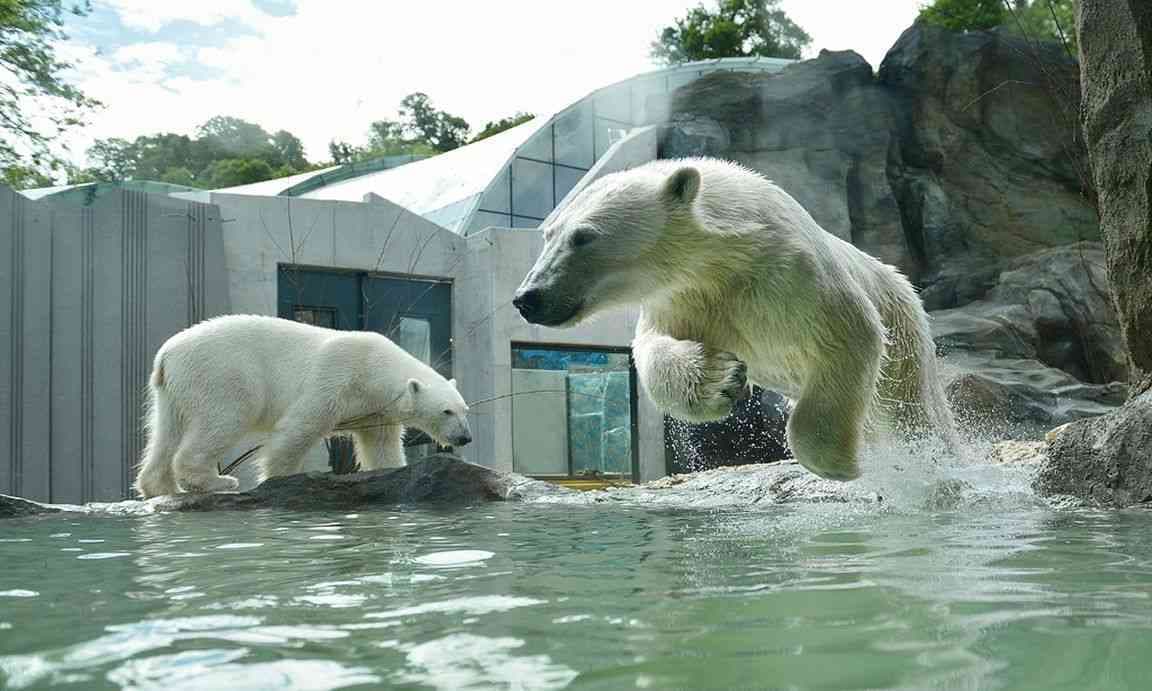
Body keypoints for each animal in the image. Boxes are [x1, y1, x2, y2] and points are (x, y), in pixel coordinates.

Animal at [133, 315, 472, 499]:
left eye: (465, 410)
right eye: (446, 411)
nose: (465, 438)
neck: (373, 369)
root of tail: (166, 354)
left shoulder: (375, 409)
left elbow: (381, 444)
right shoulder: (336, 376)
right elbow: (299, 427)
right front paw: (278, 479)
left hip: (173, 389)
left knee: (165, 432)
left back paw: (159, 487)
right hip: (221, 374)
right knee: (221, 421)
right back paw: (217, 481)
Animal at [518, 156, 958, 481]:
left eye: (584, 236)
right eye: (548, 235)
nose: (528, 298)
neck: (726, 257)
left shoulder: (792, 275)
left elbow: (849, 334)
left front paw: (840, 464)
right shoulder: (683, 298)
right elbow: (652, 348)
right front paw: (719, 380)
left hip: (904, 326)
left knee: (914, 408)